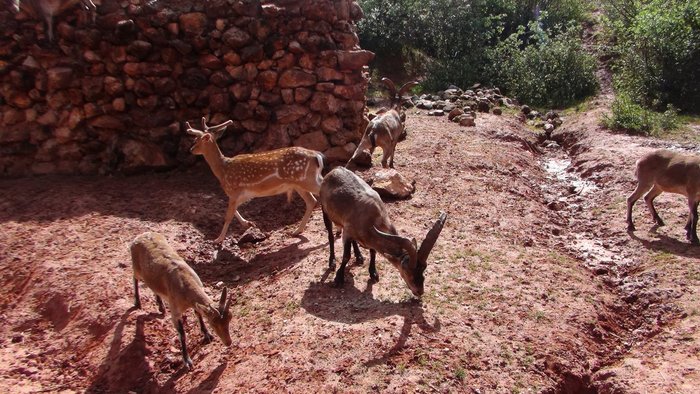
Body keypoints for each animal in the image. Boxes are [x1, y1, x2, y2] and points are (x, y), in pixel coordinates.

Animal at [133, 231, 237, 370]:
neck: (183, 283)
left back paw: (161, 307)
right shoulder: (175, 310)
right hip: (136, 268)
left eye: (229, 319)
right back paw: (137, 302)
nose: (228, 342)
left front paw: (207, 335)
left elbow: (198, 313)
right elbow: (182, 334)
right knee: (135, 278)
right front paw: (187, 361)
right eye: (213, 323)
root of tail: (139, 237)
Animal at [185, 117, 324, 243]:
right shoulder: (245, 194)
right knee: (312, 201)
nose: (191, 150)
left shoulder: (234, 190)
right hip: (301, 183)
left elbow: (228, 215)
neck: (223, 171)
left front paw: (218, 239)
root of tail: (317, 156)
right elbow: (234, 210)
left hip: (306, 180)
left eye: (197, 140)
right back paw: (297, 231)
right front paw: (248, 223)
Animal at [320, 165, 446, 298]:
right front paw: (338, 279)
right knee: (330, 235)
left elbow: (373, 252)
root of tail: (334, 170)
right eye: (407, 270)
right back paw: (332, 262)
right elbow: (346, 256)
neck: (372, 218)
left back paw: (359, 257)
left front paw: (373, 273)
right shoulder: (348, 232)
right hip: (325, 210)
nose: (419, 291)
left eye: (424, 268)